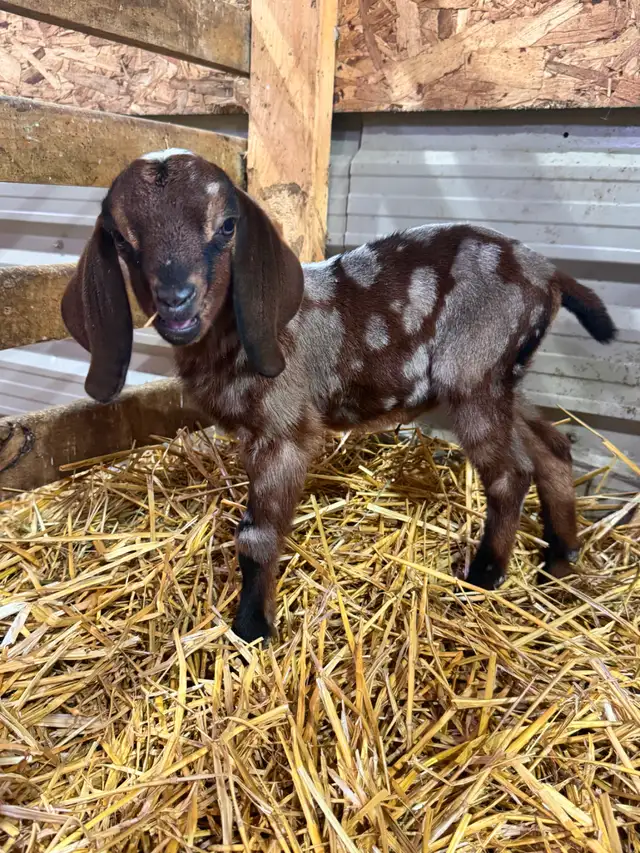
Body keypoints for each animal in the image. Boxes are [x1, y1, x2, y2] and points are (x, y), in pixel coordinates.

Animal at [61, 150, 616, 643]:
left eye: (226, 227)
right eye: (120, 239)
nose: (177, 304)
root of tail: (549, 274)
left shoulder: (285, 429)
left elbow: (256, 536)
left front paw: (252, 630)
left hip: (474, 375)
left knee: (510, 472)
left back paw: (483, 577)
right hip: (503, 378)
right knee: (551, 446)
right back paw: (560, 558)